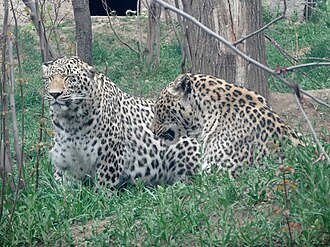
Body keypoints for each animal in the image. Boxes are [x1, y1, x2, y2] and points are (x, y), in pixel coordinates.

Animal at [42, 57, 200, 190]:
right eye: (50, 78)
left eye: (69, 77)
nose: (54, 94)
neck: (71, 121)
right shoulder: (64, 160)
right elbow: (62, 188)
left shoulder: (110, 154)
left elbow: (104, 185)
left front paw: (101, 199)